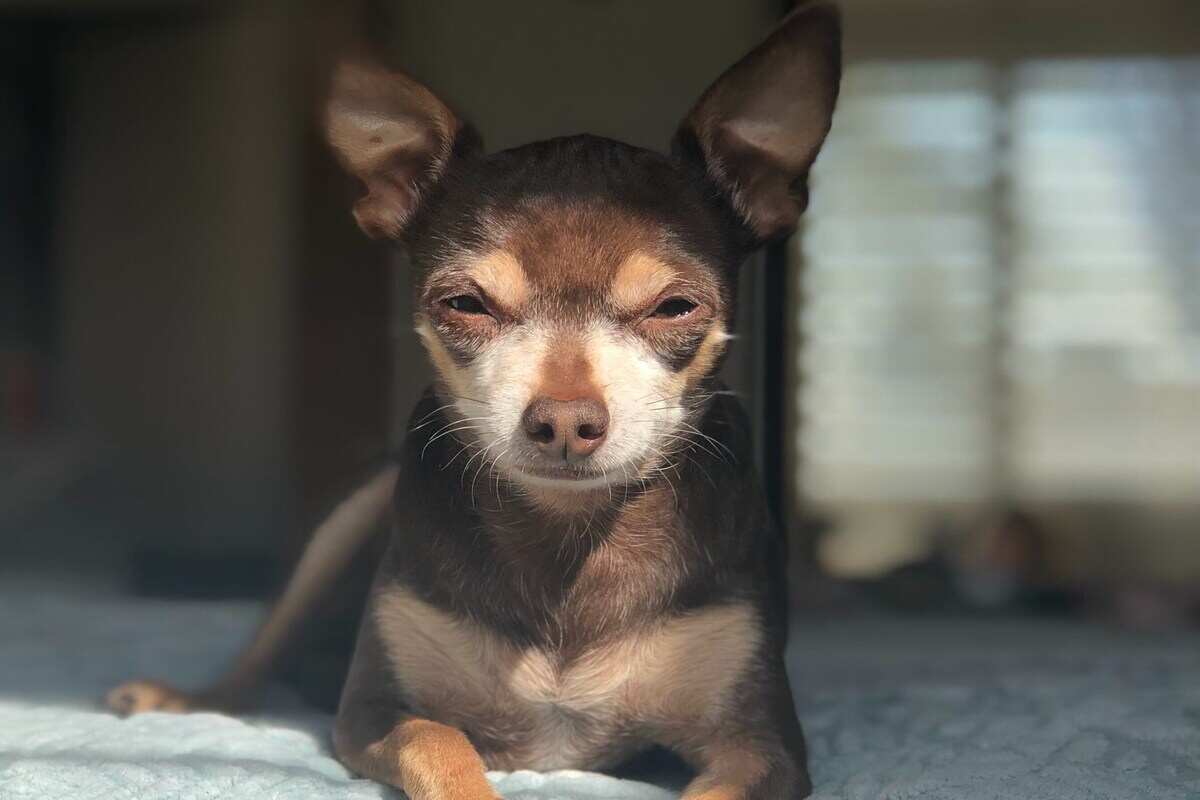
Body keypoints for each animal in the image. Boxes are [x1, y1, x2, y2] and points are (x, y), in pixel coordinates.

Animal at [105, 3, 844, 796]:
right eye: (464, 304)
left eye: (676, 308)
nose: (565, 421)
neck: (568, 536)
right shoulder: (375, 711)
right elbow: (441, 743)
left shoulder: (760, 750)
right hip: (350, 518)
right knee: (254, 662)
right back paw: (182, 700)